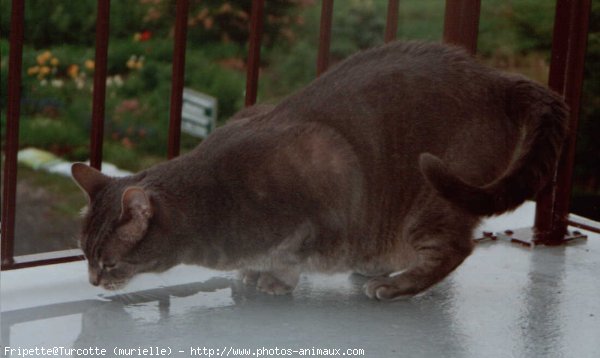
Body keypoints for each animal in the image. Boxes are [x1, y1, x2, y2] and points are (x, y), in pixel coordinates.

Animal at [70, 41, 568, 300]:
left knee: (455, 248)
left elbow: (294, 254)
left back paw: (395, 285)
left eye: (107, 261)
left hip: (434, 197)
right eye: (84, 255)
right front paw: (253, 272)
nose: (92, 280)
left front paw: (273, 279)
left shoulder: (325, 176)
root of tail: (499, 79)